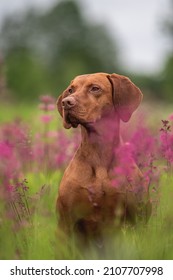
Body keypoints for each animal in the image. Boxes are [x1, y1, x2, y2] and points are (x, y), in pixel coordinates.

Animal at [56, 72, 151, 243]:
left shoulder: (136, 220)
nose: (66, 102)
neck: (99, 152)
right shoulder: (66, 221)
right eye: (71, 90)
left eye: (95, 88)